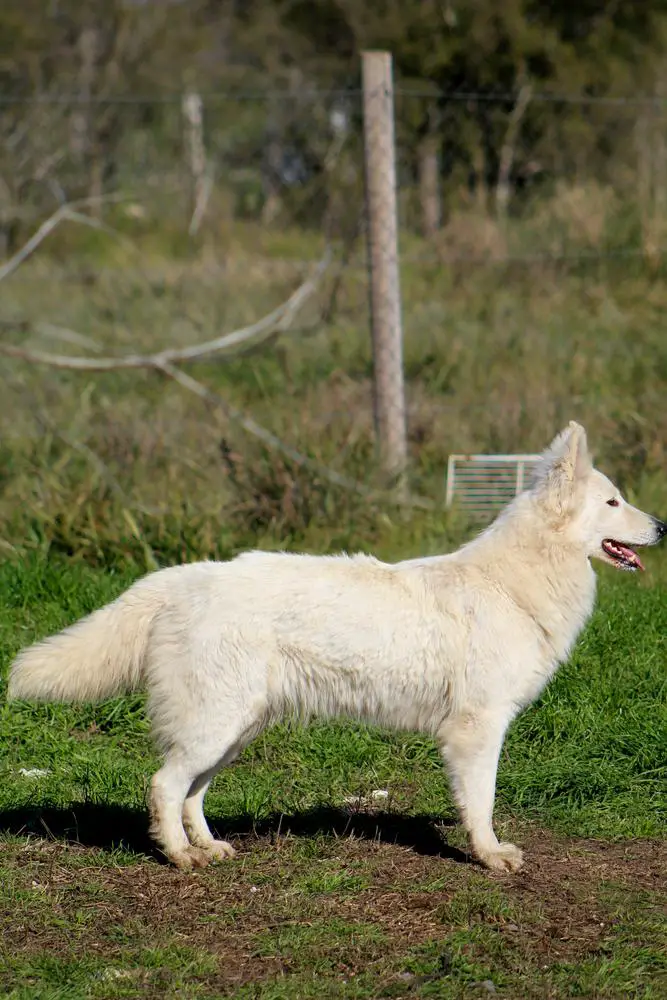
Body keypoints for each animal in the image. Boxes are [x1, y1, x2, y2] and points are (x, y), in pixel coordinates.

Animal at [6, 426, 667, 872]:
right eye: (613, 502)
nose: (662, 526)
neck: (514, 582)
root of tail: (179, 578)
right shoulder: (477, 729)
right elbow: (480, 804)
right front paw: (489, 856)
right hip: (215, 726)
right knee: (163, 787)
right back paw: (179, 858)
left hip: (232, 730)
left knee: (191, 792)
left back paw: (209, 847)